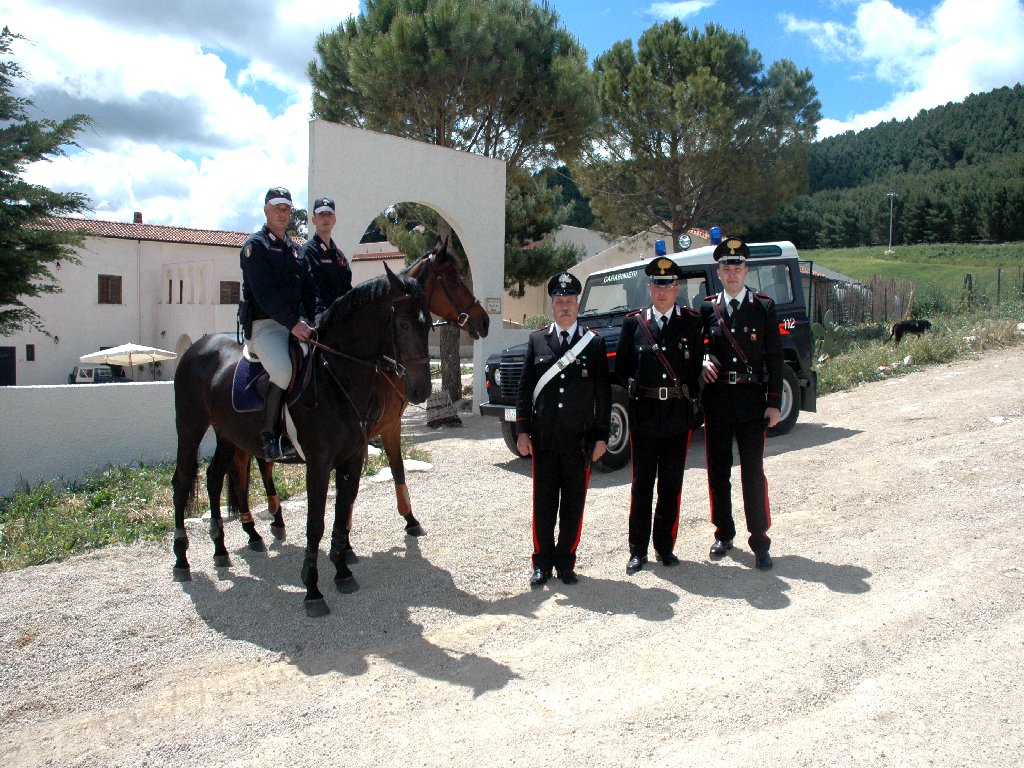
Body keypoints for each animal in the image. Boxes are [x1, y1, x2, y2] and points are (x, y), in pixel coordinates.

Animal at [174, 268, 430, 618]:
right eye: (403, 324)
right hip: (190, 428)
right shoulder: (318, 465)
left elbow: (341, 515)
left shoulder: (352, 459)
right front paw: (312, 590)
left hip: (227, 433)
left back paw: (221, 549)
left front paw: (342, 572)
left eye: (429, 324)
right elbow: (316, 524)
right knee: (182, 482)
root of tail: (198, 346)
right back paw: (181, 560)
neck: (336, 378)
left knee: (214, 477)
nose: (422, 390)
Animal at [229, 237, 491, 544]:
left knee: (258, 464)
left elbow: (397, 468)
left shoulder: (389, 425)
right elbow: (350, 489)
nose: (484, 321)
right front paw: (345, 537)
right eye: (452, 279)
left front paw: (410, 520)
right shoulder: (361, 433)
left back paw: (273, 521)